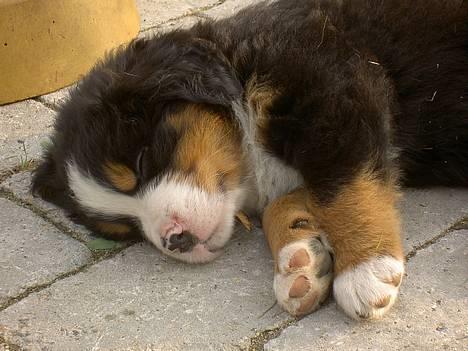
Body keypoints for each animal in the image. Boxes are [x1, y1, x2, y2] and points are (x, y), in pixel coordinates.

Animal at [31, 0, 466, 320]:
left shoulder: (337, 88)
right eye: (127, 229)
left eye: (142, 162)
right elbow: (292, 200)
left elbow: (344, 185)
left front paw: (365, 269)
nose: (175, 240)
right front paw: (300, 258)